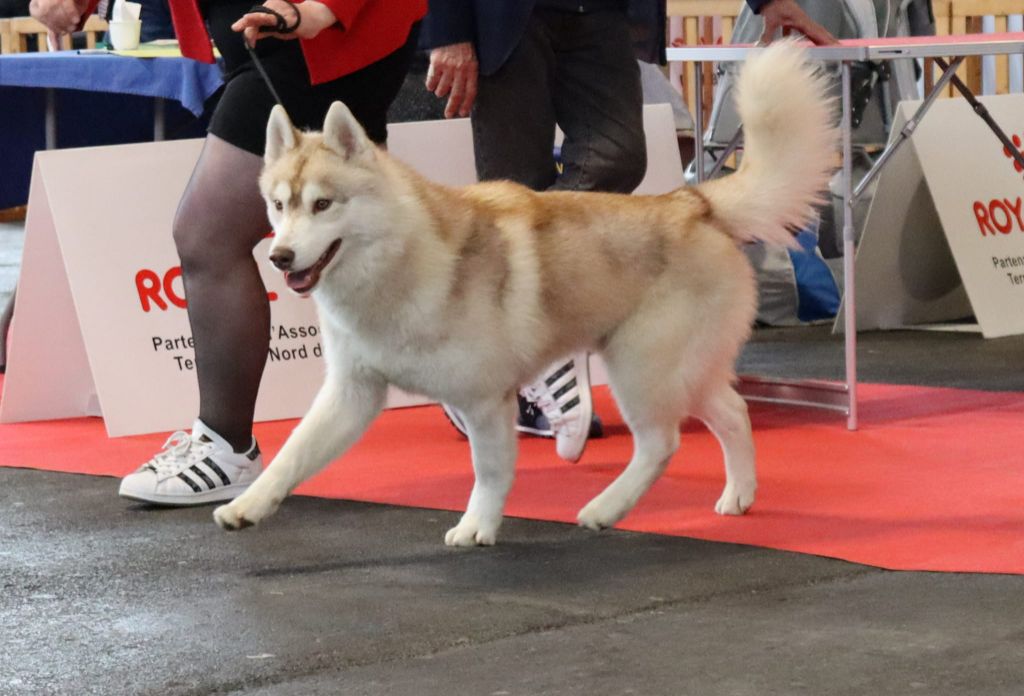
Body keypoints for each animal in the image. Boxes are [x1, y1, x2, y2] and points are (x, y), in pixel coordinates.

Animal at [213, 42, 836, 546]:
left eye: (323, 204)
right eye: (278, 205)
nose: (280, 257)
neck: (398, 267)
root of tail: (692, 201)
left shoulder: (484, 399)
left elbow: (489, 473)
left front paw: (476, 527)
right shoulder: (351, 393)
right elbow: (293, 452)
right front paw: (249, 505)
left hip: (642, 366)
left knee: (661, 443)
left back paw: (605, 509)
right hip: (681, 369)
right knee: (733, 412)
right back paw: (738, 495)